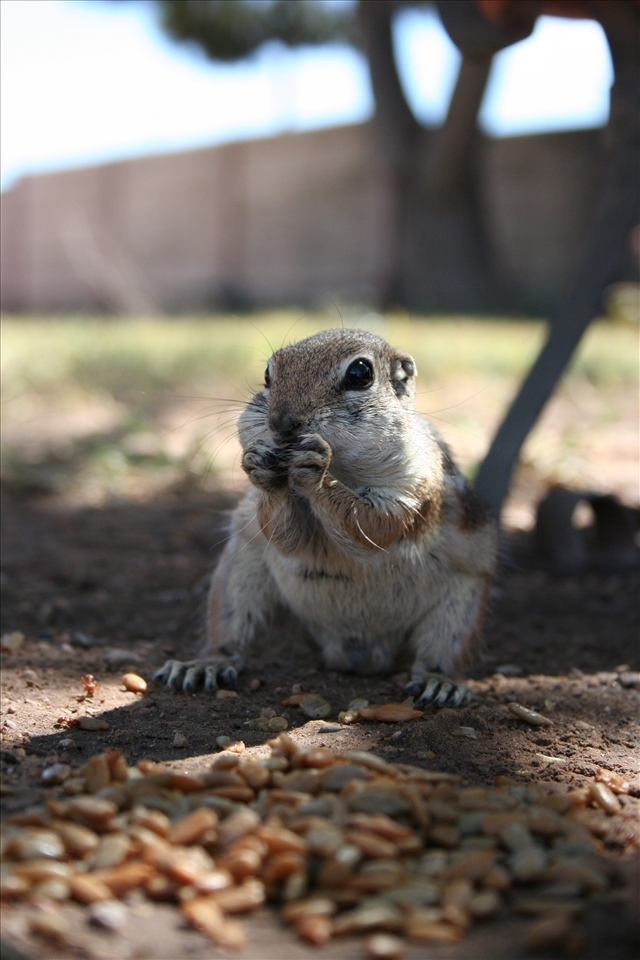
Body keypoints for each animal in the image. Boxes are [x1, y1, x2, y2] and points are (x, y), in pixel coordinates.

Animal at [155, 329, 497, 708]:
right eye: (267, 375)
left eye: (360, 373)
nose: (281, 424)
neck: (343, 466)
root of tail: (356, 654)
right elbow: (284, 534)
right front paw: (261, 467)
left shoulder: (413, 484)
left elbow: (374, 523)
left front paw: (315, 471)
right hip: (234, 581)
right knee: (230, 636)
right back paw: (206, 664)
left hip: (460, 609)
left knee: (441, 653)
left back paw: (440, 682)